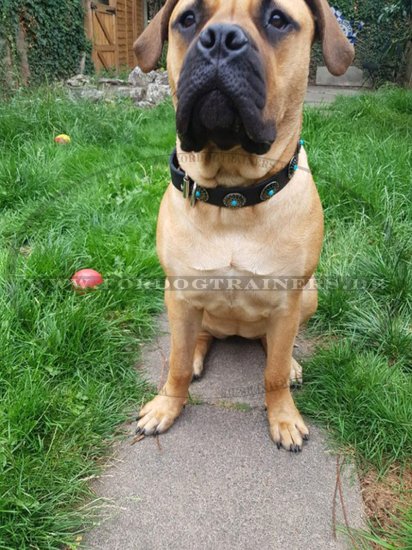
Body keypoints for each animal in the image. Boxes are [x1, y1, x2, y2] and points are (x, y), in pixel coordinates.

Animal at [134, 0, 352, 452]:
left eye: (277, 19)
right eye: (188, 19)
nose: (220, 39)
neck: (233, 195)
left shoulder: (287, 300)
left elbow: (272, 373)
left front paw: (283, 416)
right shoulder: (179, 292)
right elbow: (175, 364)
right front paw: (166, 406)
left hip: (309, 295)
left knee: (276, 347)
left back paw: (291, 364)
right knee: (197, 340)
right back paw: (198, 355)